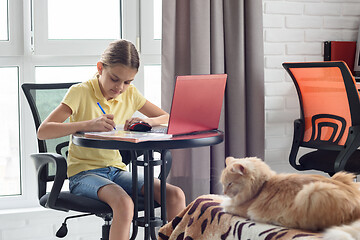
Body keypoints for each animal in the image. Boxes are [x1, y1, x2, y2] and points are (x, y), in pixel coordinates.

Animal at [221, 156, 360, 238]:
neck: (262, 186)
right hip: (341, 176)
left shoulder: (238, 208)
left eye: (229, 184)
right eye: (223, 184)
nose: (224, 192)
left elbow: (223, 204)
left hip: (313, 192)